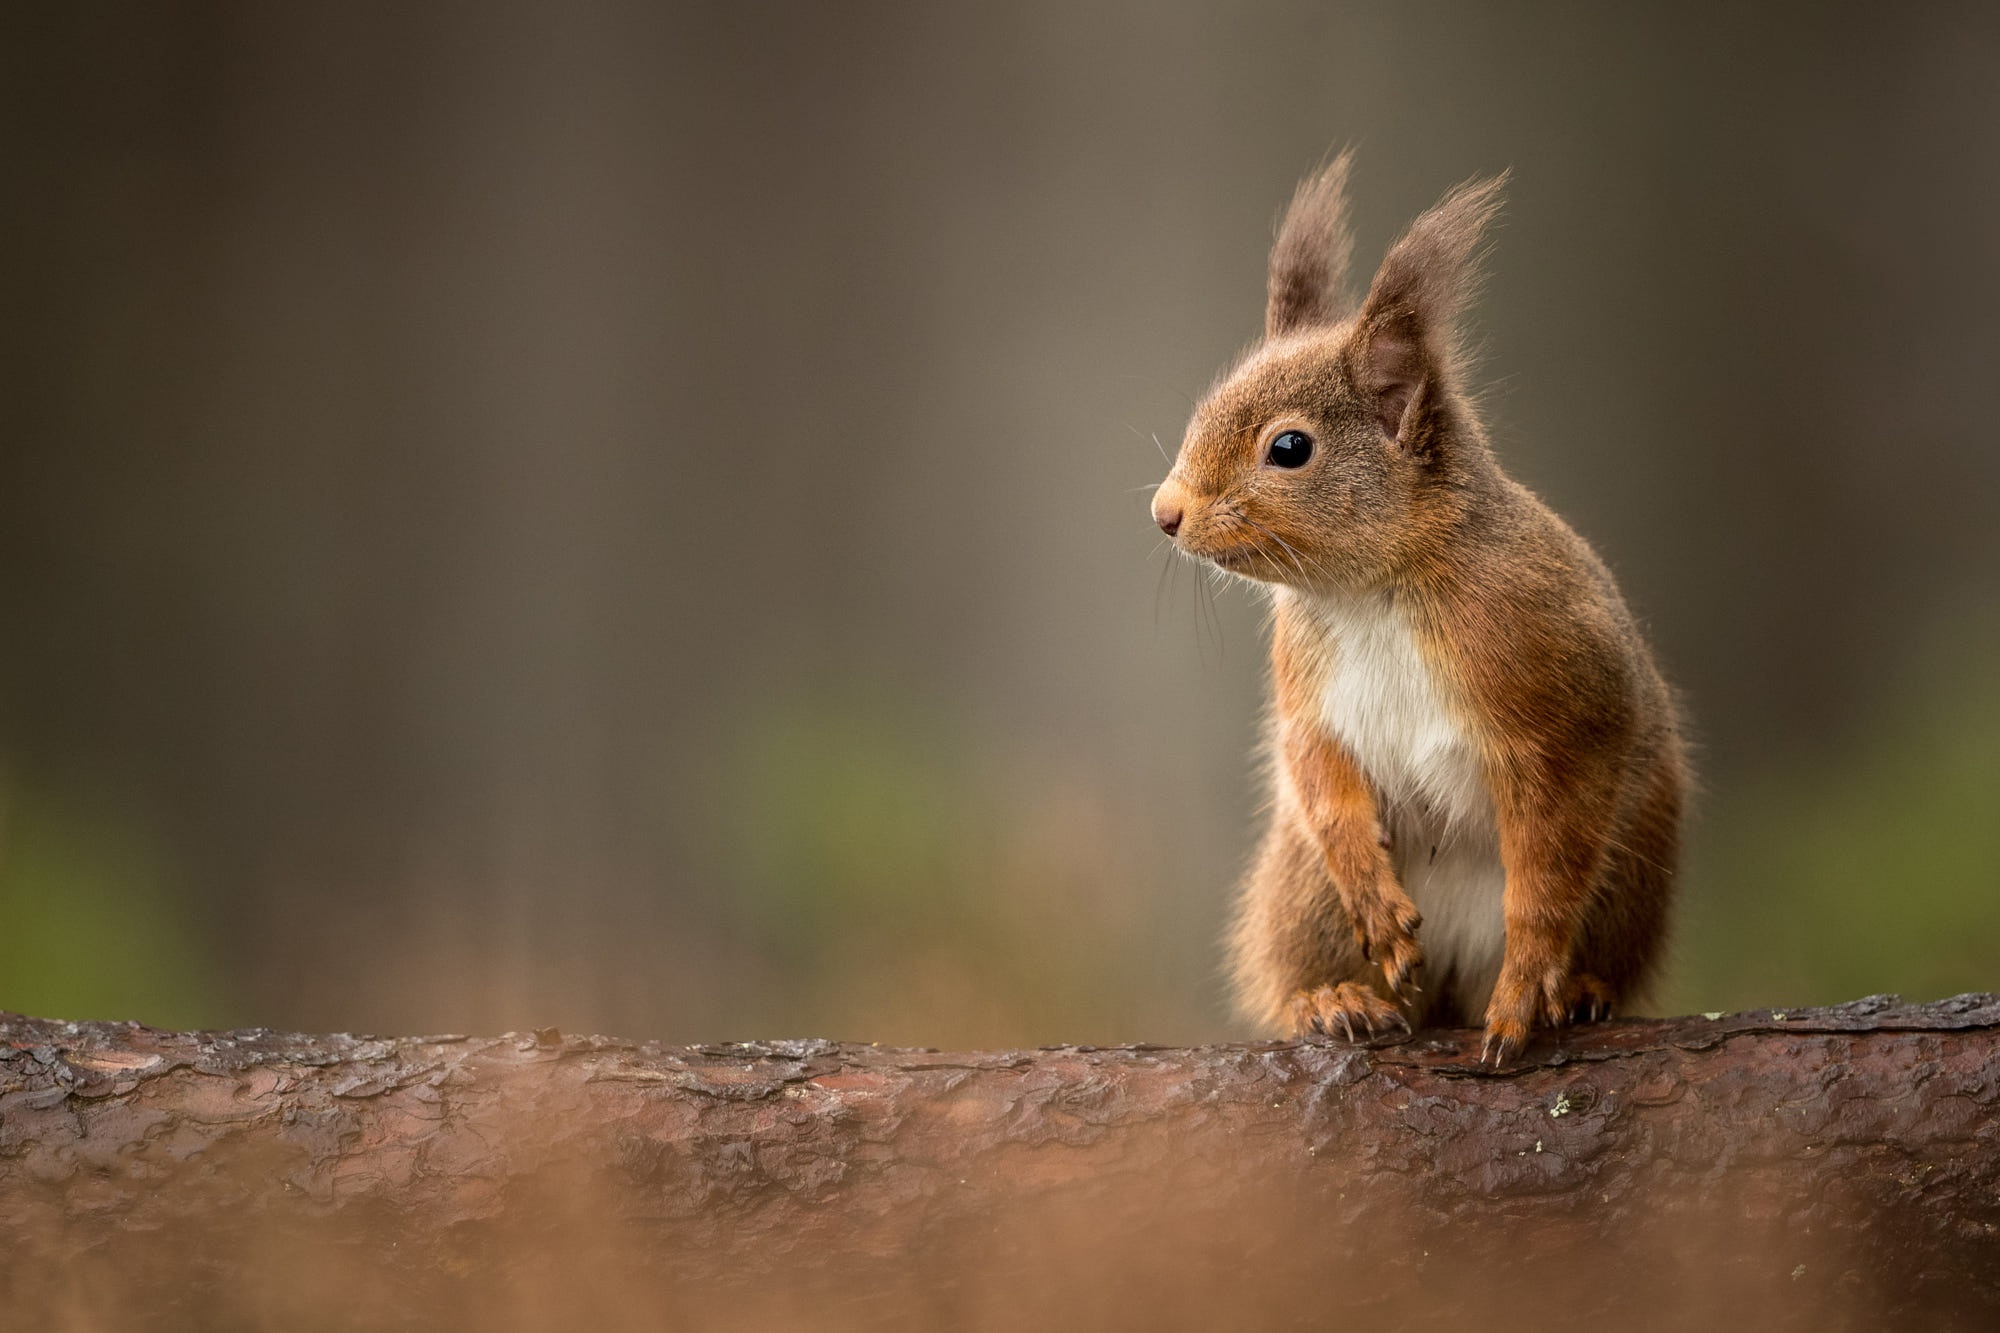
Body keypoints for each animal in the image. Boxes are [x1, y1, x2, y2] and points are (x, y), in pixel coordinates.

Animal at [1160, 150, 1688, 1056]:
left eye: (1289, 448)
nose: (1165, 511)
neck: (1373, 591)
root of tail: (1445, 990)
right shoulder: (1309, 691)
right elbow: (1320, 774)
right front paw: (1371, 905)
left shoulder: (1560, 712)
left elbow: (1548, 869)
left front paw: (1527, 989)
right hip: (1301, 889)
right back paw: (1333, 998)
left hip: (1635, 857)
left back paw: (1578, 990)